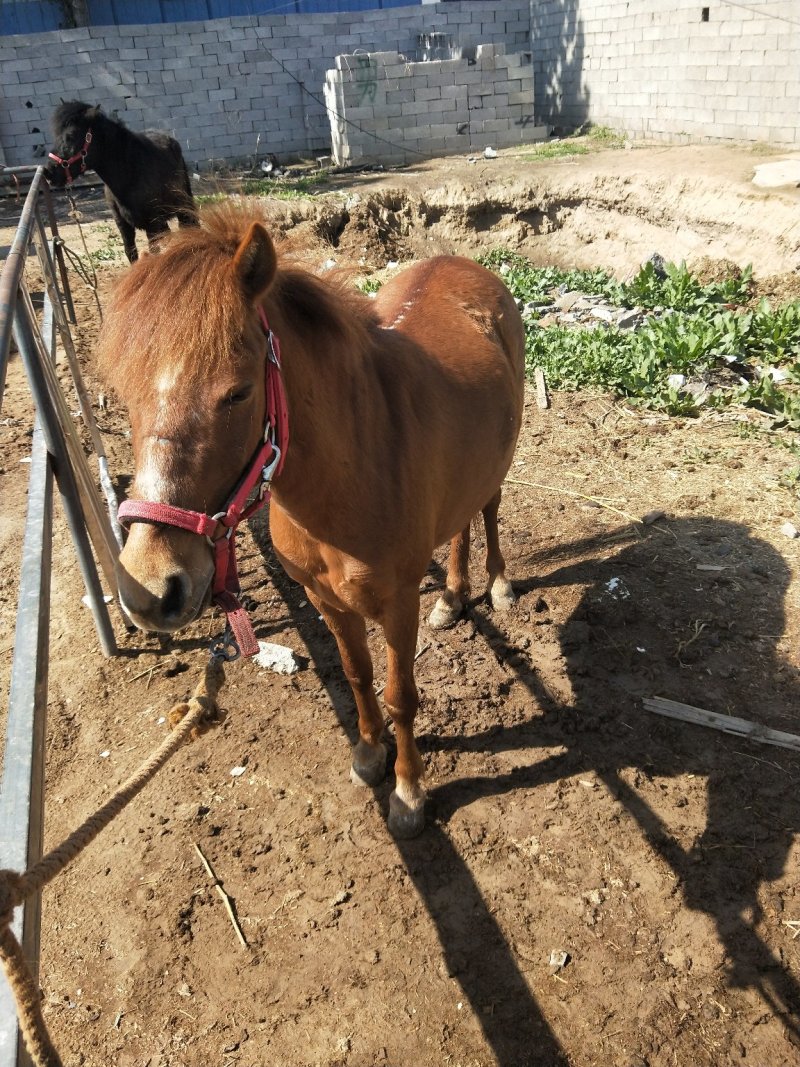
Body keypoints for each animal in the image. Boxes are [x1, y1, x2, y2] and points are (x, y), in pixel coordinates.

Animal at [45, 101, 198, 263]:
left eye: (71, 136)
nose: (48, 172)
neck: (129, 175)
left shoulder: (153, 223)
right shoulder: (123, 225)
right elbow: (131, 253)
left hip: (182, 207)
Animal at [97, 204, 525, 838]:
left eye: (238, 393)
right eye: (126, 394)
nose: (150, 590)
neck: (350, 474)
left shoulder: (398, 604)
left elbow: (401, 695)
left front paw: (408, 792)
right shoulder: (325, 599)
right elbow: (355, 674)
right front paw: (370, 755)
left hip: (499, 457)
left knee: (489, 509)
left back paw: (496, 585)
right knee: (461, 523)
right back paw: (451, 597)